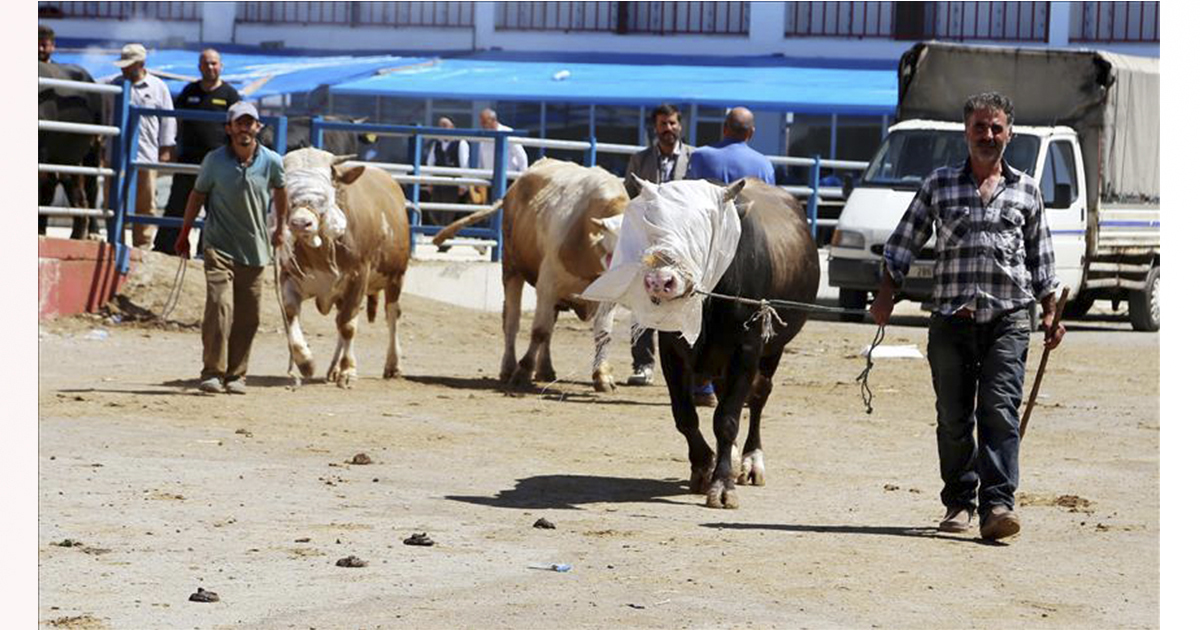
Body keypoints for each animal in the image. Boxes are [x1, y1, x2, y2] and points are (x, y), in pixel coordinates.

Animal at [280, 147, 412, 386]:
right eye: (286, 188)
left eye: (326, 190)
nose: (300, 223)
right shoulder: (289, 275)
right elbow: (291, 312)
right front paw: (305, 361)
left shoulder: (358, 276)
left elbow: (349, 325)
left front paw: (348, 370)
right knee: (340, 320)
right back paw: (333, 368)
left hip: (396, 276)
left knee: (391, 314)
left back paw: (392, 365)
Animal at [436, 157, 633, 391]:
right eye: (616, 249)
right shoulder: (547, 284)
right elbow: (539, 330)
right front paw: (522, 371)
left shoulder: (606, 296)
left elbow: (603, 333)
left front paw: (602, 375)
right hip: (511, 270)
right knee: (512, 322)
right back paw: (509, 367)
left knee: (549, 325)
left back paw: (545, 369)